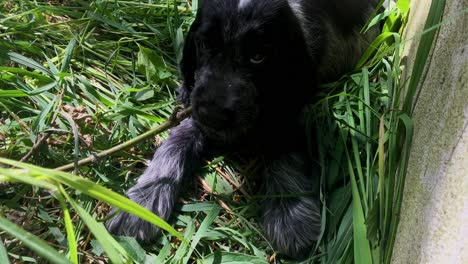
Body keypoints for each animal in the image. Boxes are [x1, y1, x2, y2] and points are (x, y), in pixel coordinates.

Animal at [108, 0, 378, 256]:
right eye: (205, 45)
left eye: (257, 56)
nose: (214, 115)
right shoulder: (197, 108)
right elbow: (177, 140)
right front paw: (141, 200)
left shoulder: (294, 109)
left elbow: (286, 149)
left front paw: (289, 214)